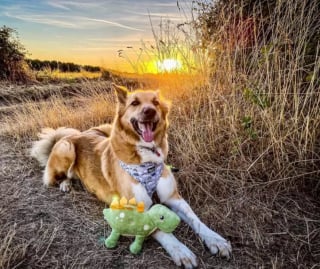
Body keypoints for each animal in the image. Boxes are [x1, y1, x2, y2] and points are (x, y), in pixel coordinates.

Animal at [31, 84, 231, 268]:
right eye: (134, 103)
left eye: (156, 102)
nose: (149, 111)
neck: (147, 158)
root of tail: (75, 134)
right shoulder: (132, 209)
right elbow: (156, 228)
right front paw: (180, 250)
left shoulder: (173, 197)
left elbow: (195, 219)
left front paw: (216, 240)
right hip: (67, 148)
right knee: (56, 176)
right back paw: (65, 184)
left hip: (103, 129)